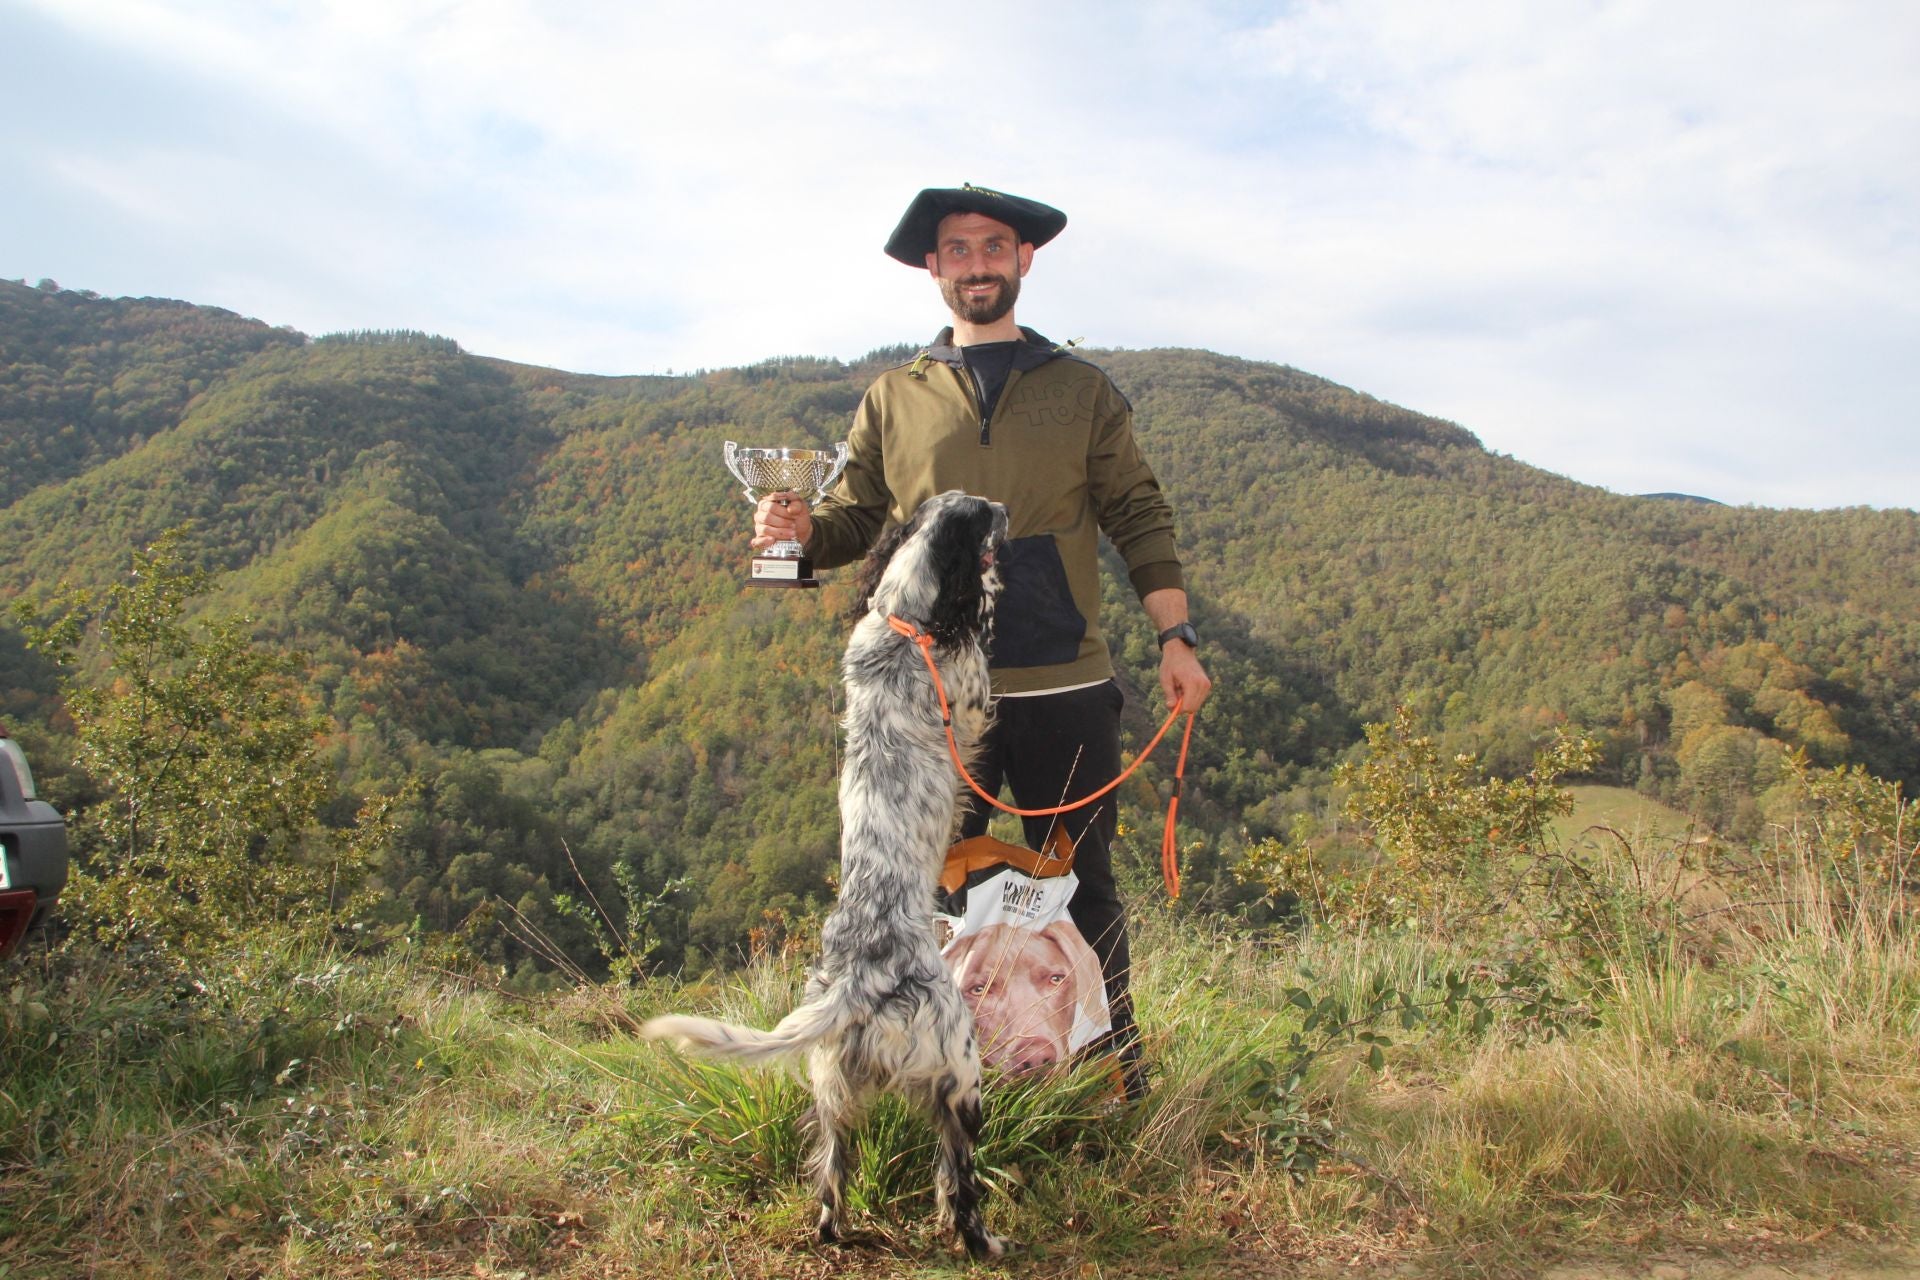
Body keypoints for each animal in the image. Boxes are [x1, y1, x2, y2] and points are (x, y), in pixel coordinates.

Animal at [645, 491, 1013, 1258]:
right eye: (981, 512)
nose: (1006, 505)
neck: (907, 619)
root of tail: (858, 981)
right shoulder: (972, 697)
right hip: (960, 1071)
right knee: (958, 1176)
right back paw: (981, 1242)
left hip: (832, 1085)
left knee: (830, 1171)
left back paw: (835, 1230)